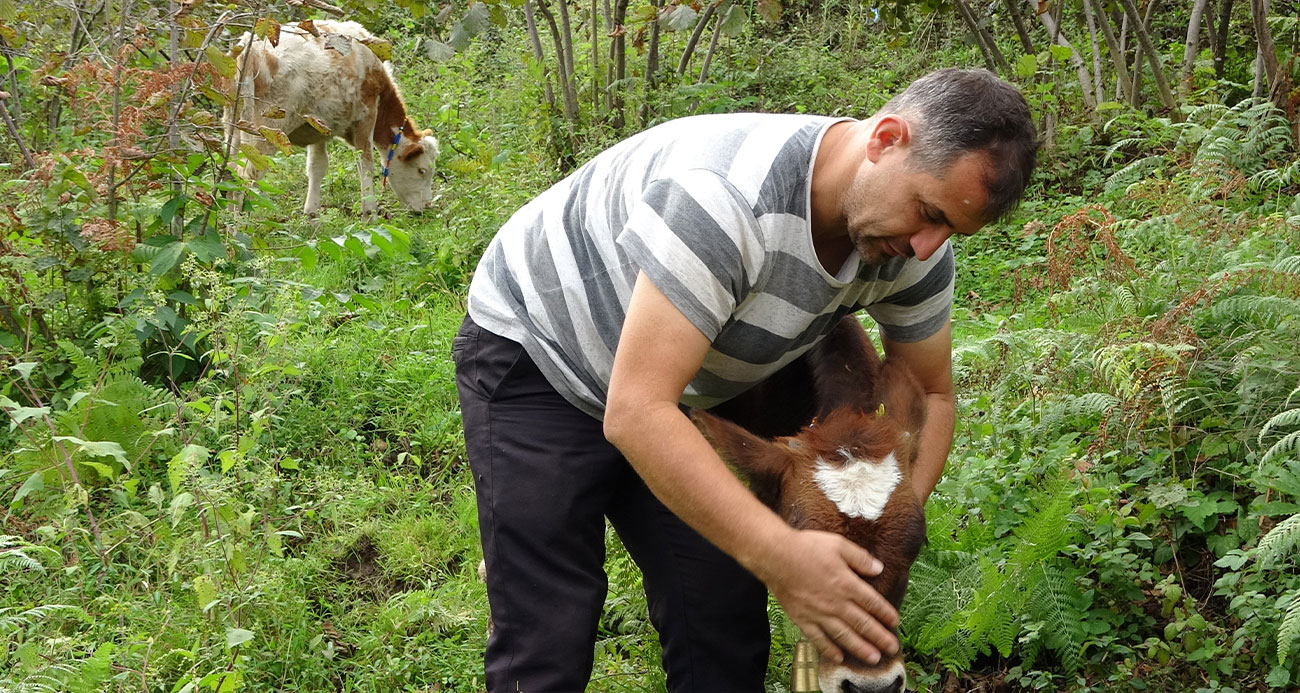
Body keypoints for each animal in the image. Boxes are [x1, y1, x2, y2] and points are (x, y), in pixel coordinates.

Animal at [224, 20, 441, 214]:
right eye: (422, 170)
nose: (426, 207)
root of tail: (251, 49)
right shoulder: (366, 117)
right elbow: (366, 164)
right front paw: (369, 213)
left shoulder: (318, 129)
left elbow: (317, 167)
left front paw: (312, 215)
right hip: (266, 130)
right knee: (246, 175)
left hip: (233, 125)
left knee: (231, 170)